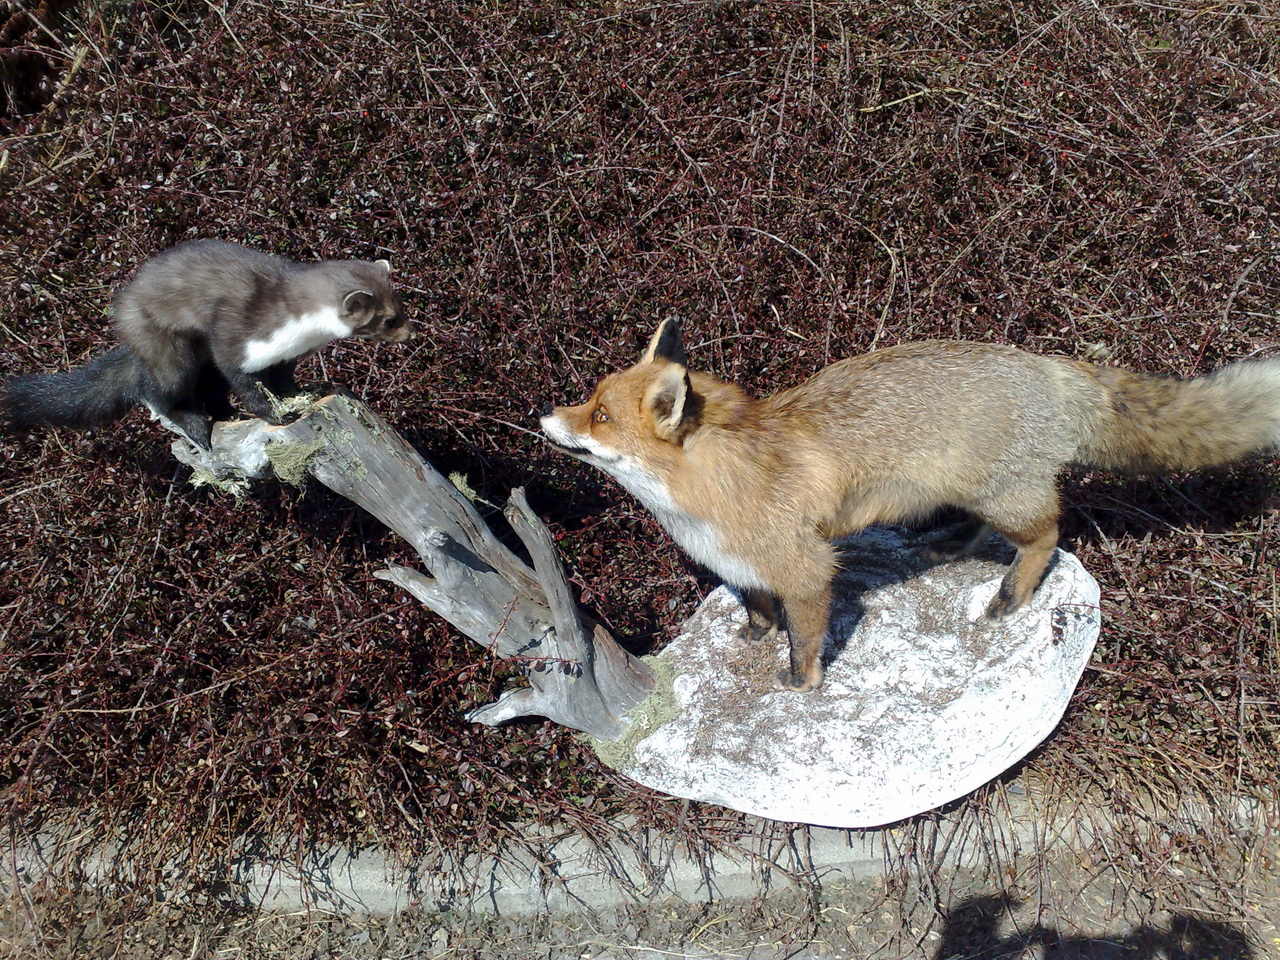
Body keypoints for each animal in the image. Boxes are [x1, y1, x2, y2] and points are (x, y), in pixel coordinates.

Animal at [2, 239, 412, 449]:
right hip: (166, 347)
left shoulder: (285, 356)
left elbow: (282, 380)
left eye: (402, 304)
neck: (298, 334)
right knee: (156, 391)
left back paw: (223, 415)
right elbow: (246, 382)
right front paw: (275, 414)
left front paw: (304, 393)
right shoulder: (234, 336)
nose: (410, 334)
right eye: (389, 319)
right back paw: (196, 424)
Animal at [541, 318, 1280, 693]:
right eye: (589, 400)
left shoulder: (807, 569)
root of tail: (1051, 366)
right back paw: (951, 545)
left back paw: (1011, 596)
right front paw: (753, 634)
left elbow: (804, 638)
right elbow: (755, 603)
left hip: (1009, 498)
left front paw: (799, 683)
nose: (546, 416)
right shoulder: (743, 563)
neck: (711, 493)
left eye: (600, 417)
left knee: (1048, 535)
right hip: (968, 490)